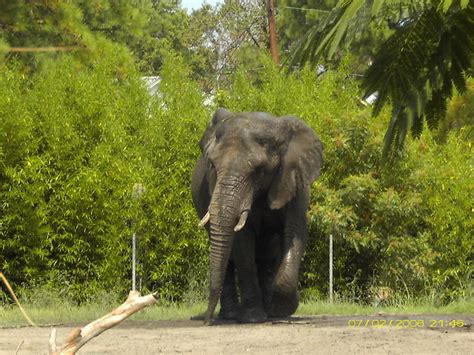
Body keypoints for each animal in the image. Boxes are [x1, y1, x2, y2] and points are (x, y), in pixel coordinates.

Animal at [191, 108, 324, 326]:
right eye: (211, 165)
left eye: (259, 171)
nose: (206, 321)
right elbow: (242, 242)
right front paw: (252, 318)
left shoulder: (294, 182)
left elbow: (295, 232)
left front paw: (280, 309)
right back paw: (231, 315)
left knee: (267, 257)